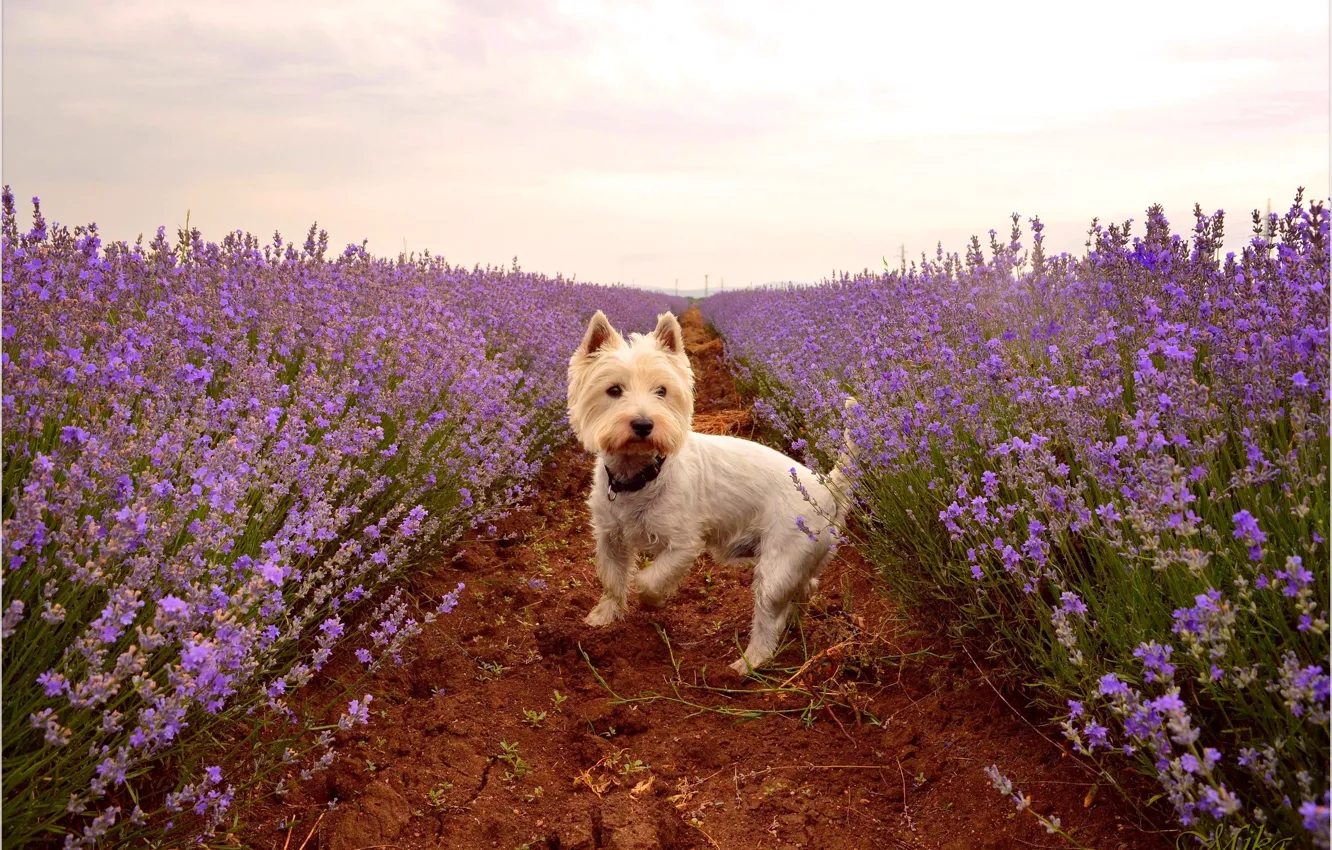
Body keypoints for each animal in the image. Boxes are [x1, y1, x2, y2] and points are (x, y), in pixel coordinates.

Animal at [567, 309, 847, 676]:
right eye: (614, 390)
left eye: (662, 391)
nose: (643, 424)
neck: (640, 475)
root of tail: (826, 486)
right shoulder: (610, 536)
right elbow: (612, 579)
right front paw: (603, 618)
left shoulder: (684, 544)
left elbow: (646, 580)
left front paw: (654, 602)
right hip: (798, 561)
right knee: (805, 588)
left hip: (778, 563)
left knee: (769, 620)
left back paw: (746, 664)